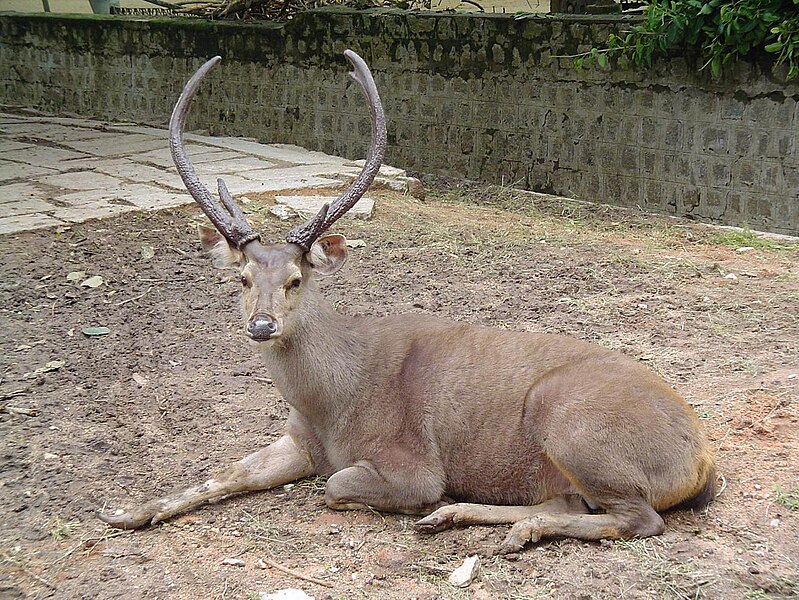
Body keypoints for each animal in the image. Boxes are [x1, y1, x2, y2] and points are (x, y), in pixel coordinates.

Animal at [97, 51, 716, 552]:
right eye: (244, 278)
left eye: (297, 278)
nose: (262, 326)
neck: (331, 404)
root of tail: (702, 459)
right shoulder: (297, 439)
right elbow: (226, 472)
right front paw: (126, 512)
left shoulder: (411, 463)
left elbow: (336, 484)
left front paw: (414, 504)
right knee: (570, 501)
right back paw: (467, 520)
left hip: (573, 424)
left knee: (640, 519)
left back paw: (493, 524)